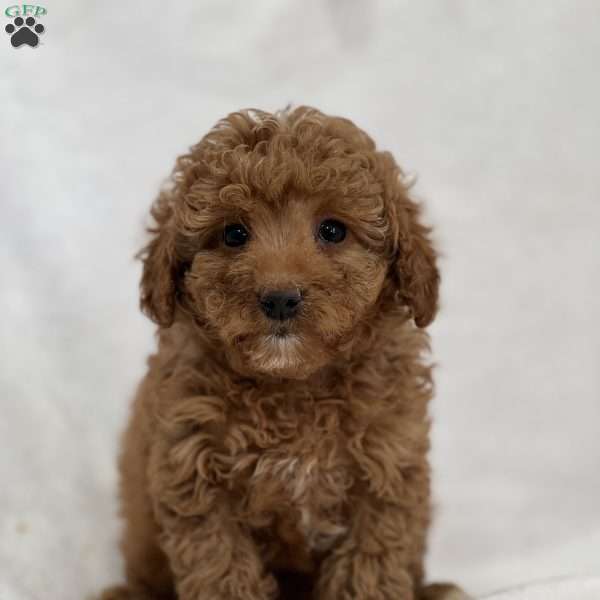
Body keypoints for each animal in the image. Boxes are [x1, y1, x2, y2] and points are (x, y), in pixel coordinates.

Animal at [99, 106, 468, 600]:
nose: (279, 299)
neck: (293, 387)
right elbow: (223, 573)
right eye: (234, 234)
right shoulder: (194, 475)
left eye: (332, 230)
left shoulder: (386, 472)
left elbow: (368, 570)